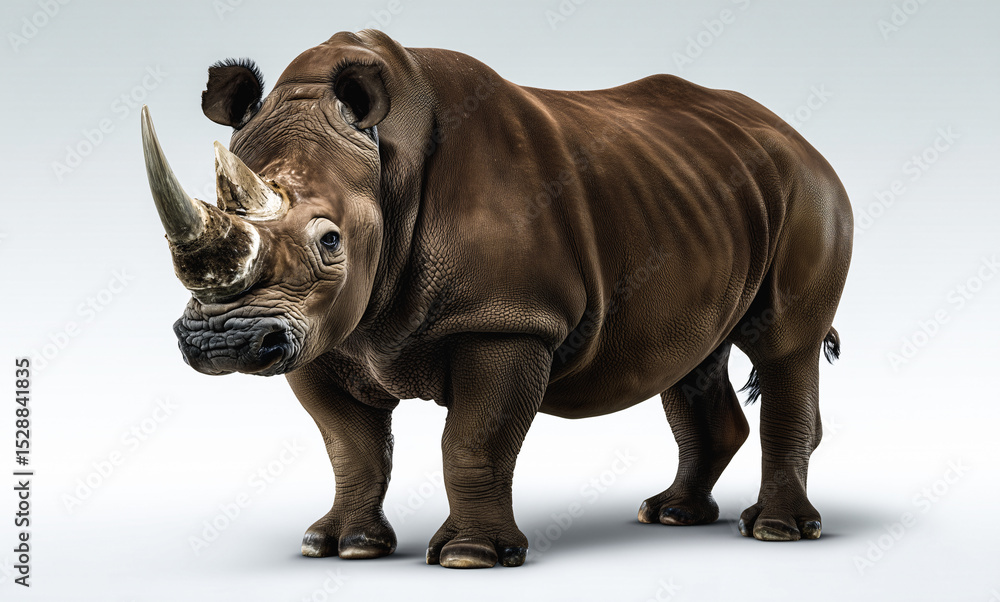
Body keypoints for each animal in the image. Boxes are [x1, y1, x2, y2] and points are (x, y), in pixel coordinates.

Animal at [141, 29, 852, 569]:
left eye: (330, 240)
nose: (224, 341)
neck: (384, 166)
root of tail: (796, 136)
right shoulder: (321, 330)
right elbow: (350, 446)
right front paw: (341, 546)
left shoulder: (506, 319)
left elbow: (474, 439)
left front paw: (470, 558)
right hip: (699, 197)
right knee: (690, 357)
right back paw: (672, 515)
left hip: (809, 192)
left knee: (786, 347)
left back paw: (776, 532)